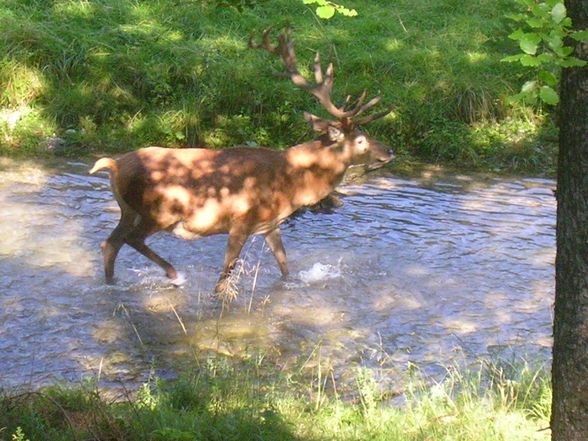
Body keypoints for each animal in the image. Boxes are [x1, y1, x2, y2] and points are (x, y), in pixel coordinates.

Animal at [89, 27, 392, 294]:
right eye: (361, 140)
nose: (389, 151)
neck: (292, 183)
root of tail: (114, 165)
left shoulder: (271, 225)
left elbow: (285, 266)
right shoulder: (241, 221)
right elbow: (225, 275)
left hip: (128, 209)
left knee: (110, 244)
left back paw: (113, 284)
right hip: (159, 211)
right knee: (130, 239)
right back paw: (173, 274)